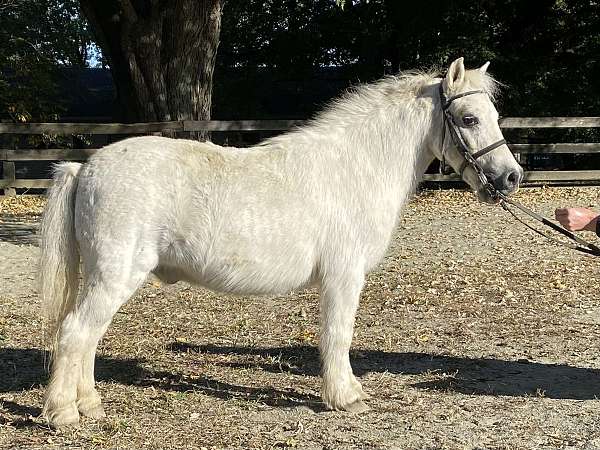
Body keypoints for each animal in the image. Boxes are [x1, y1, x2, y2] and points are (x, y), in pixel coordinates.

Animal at [39, 58, 524, 428]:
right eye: (469, 119)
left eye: (494, 117)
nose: (510, 177)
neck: (358, 166)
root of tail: (86, 168)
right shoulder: (343, 278)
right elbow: (337, 336)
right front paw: (345, 397)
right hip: (114, 276)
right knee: (75, 333)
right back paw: (64, 414)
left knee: (88, 337)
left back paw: (91, 406)